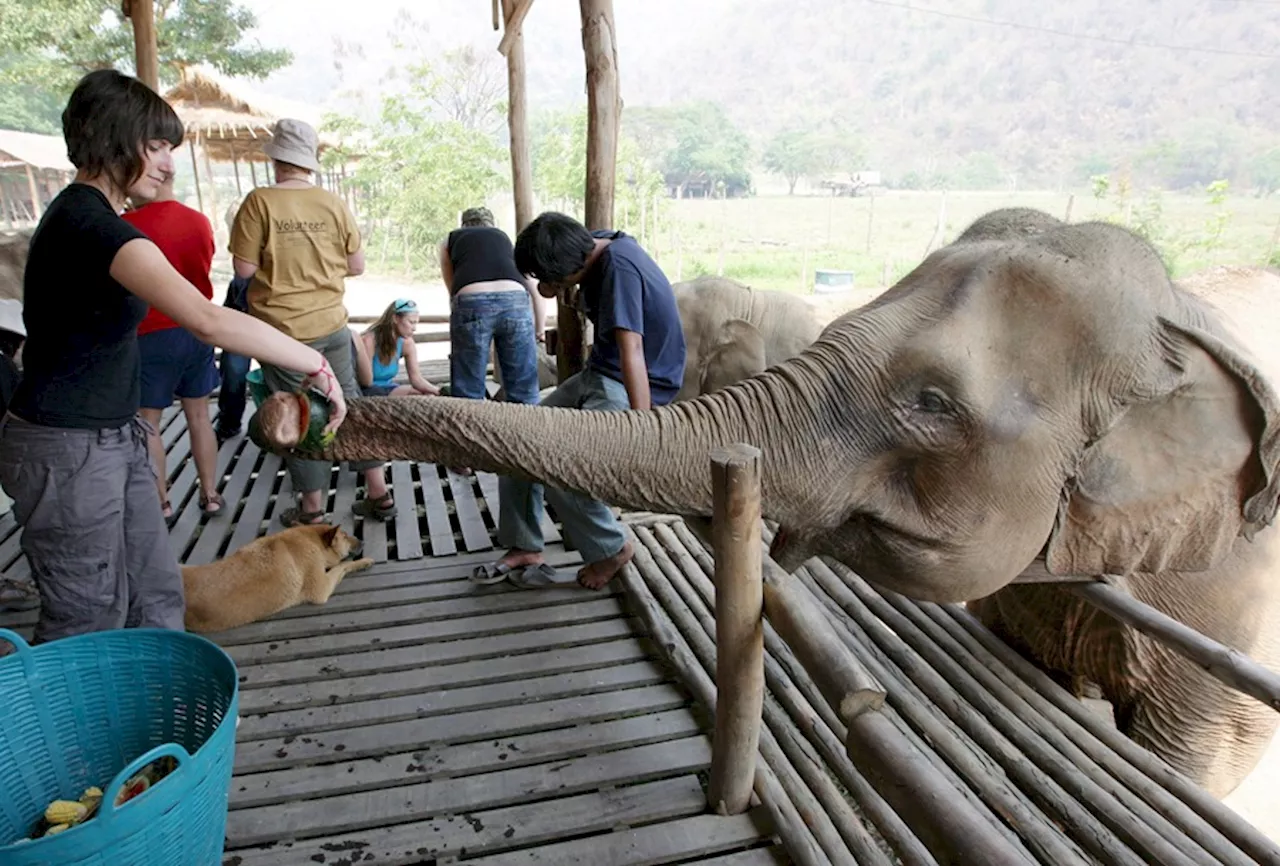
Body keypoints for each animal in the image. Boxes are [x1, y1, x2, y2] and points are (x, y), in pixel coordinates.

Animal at [185, 519, 373, 634]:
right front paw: (363, 561)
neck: (308, 538)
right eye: (345, 536)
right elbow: (342, 565)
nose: (363, 541)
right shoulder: (321, 588)